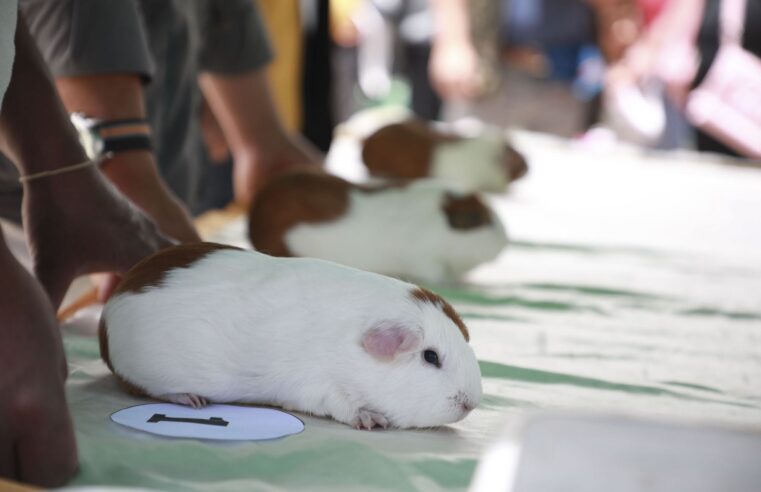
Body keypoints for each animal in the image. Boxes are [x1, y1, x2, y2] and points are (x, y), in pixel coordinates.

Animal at [99, 242, 482, 430]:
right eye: (430, 356)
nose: (471, 403)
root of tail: (108, 315)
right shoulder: (321, 388)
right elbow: (344, 405)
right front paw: (371, 421)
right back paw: (193, 400)